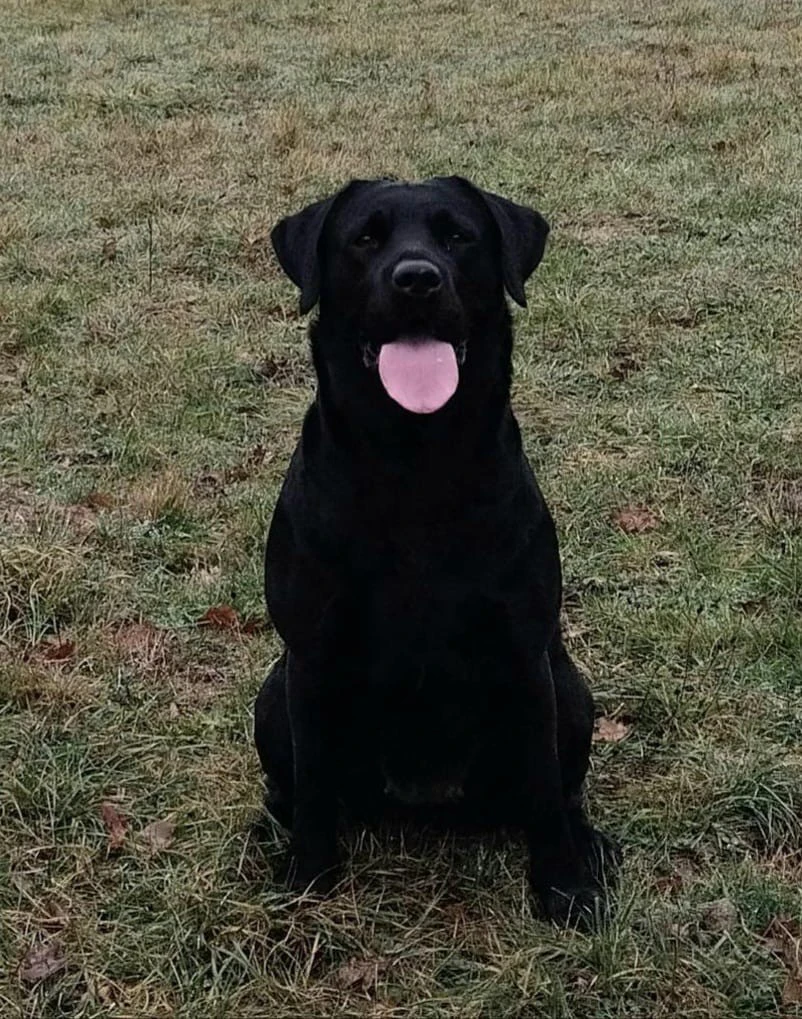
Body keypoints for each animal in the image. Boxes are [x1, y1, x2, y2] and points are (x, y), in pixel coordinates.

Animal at [253, 175, 619, 925]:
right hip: (273, 696)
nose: (417, 278)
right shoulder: (311, 654)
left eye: (458, 236)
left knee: (560, 789)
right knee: (299, 784)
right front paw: (308, 878)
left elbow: (545, 793)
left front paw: (564, 887)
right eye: (365, 238)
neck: (413, 462)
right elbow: (314, 788)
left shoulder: (523, 654)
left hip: (569, 689)